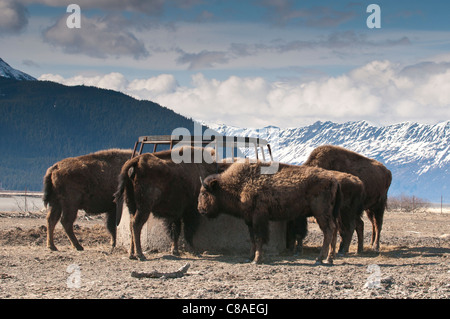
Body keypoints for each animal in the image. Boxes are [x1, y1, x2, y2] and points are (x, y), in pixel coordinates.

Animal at [197, 162, 342, 264]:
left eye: (204, 193)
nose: (200, 210)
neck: (241, 183)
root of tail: (333, 179)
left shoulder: (259, 218)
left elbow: (259, 237)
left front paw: (257, 259)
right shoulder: (249, 220)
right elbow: (252, 238)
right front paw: (249, 258)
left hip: (321, 213)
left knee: (328, 230)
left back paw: (319, 259)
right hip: (330, 214)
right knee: (334, 229)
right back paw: (329, 259)